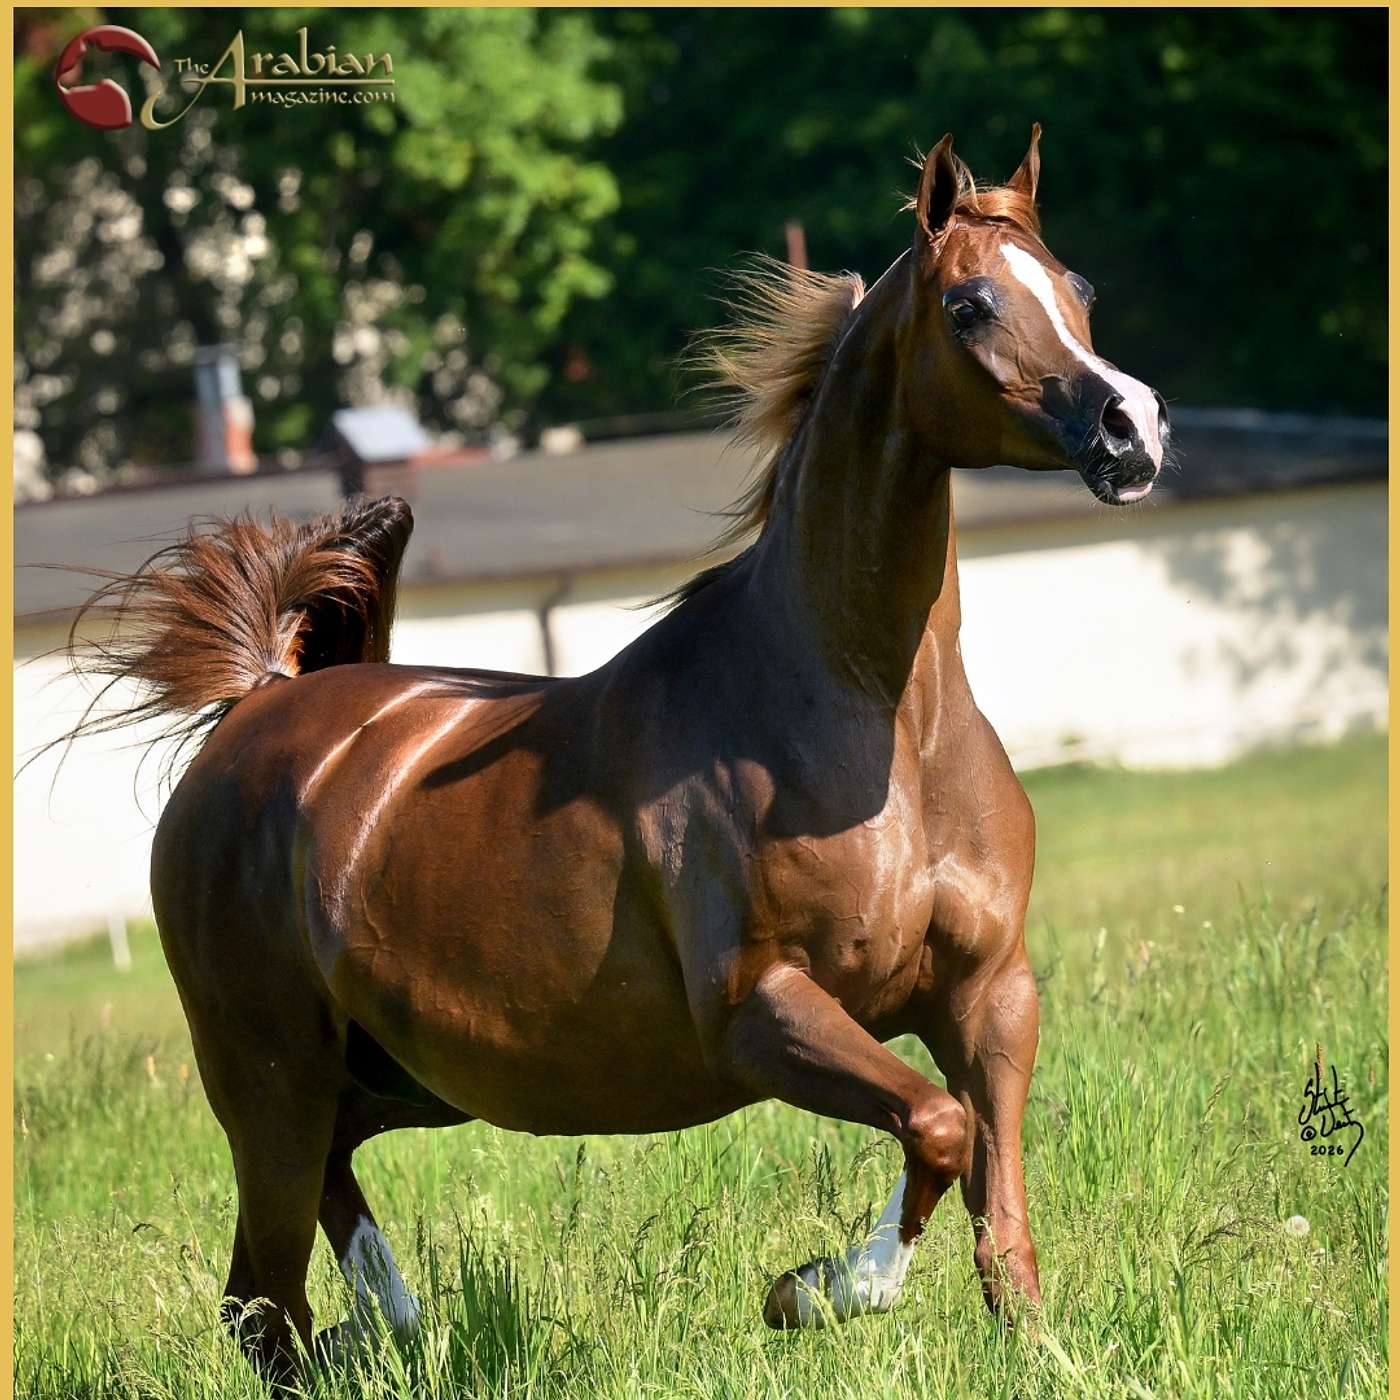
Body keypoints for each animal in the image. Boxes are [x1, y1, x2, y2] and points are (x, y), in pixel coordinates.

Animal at [62, 126, 1168, 1379]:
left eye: (1076, 288)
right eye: (970, 303)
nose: (1132, 429)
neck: (874, 722)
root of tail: (254, 708)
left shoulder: (989, 995)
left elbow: (993, 1195)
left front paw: (1018, 1345)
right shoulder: (760, 1011)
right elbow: (933, 1125)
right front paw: (815, 1288)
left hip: (381, 1077)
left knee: (302, 1247)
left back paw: (394, 1317)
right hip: (268, 1078)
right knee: (264, 1300)